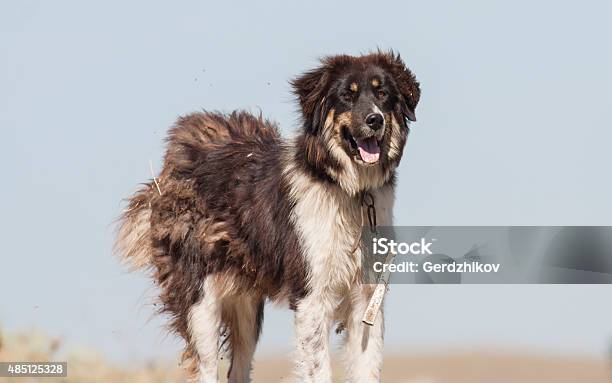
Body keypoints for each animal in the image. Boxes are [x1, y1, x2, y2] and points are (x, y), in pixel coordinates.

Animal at [115, 51, 418, 383]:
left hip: (247, 306)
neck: (349, 189)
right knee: (207, 366)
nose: (375, 120)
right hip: (200, 302)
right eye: (347, 97)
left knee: (239, 368)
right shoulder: (311, 296)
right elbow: (318, 369)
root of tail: (176, 159)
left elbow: (367, 368)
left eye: (383, 94)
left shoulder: (367, 296)